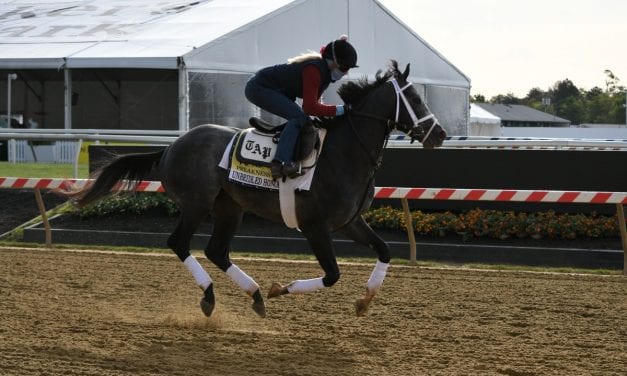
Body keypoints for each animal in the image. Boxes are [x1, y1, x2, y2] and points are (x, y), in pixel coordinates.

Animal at [65, 61, 446, 318]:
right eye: (414, 98)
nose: (439, 134)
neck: (345, 152)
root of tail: (171, 147)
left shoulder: (350, 222)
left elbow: (384, 251)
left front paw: (365, 300)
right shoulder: (315, 226)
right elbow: (332, 275)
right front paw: (282, 288)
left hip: (230, 207)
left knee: (217, 251)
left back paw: (256, 295)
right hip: (196, 203)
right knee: (179, 243)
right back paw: (211, 296)